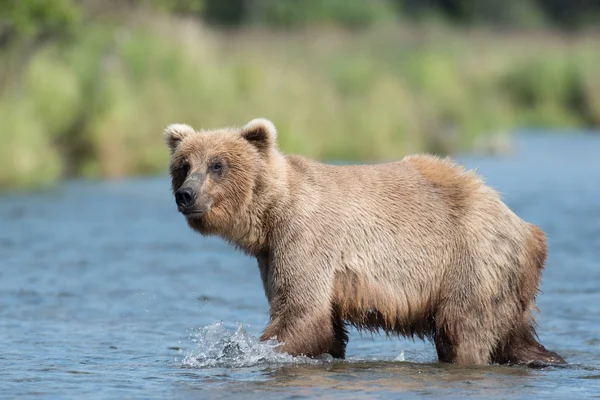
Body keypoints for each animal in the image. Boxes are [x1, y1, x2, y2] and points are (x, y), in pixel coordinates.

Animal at [165, 118, 568, 366]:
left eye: (217, 165)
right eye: (184, 165)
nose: (185, 195)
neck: (271, 214)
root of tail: (528, 230)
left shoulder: (304, 238)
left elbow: (302, 311)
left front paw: (246, 351)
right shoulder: (270, 254)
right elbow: (322, 323)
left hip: (471, 262)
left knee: (464, 332)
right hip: (504, 282)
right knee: (515, 335)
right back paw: (548, 358)